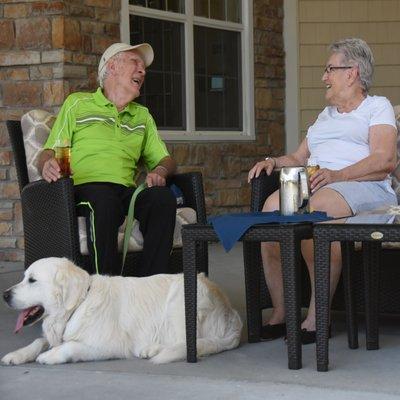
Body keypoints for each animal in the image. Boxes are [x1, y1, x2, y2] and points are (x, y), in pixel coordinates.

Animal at [1, 258, 241, 364]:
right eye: (24, 277)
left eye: (32, 280)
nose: (4, 295)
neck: (79, 304)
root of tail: (230, 313)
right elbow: (39, 341)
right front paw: (17, 354)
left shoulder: (111, 345)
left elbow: (70, 346)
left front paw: (50, 355)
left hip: (180, 302)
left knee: (186, 342)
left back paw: (151, 349)